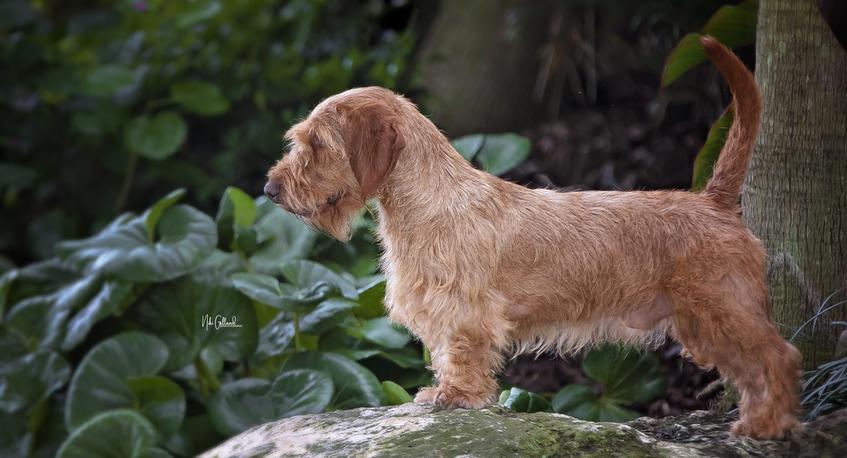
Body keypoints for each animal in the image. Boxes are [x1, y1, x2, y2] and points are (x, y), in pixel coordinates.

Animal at [264, 37, 800, 438]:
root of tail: (714, 200)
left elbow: (461, 354)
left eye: (316, 144)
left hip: (724, 311)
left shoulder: (464, 312)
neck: (429, 202)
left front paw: (458, 397)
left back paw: (767, 425)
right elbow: (445, 354)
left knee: (779, 357)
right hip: (703, 324)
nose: (270, 189)